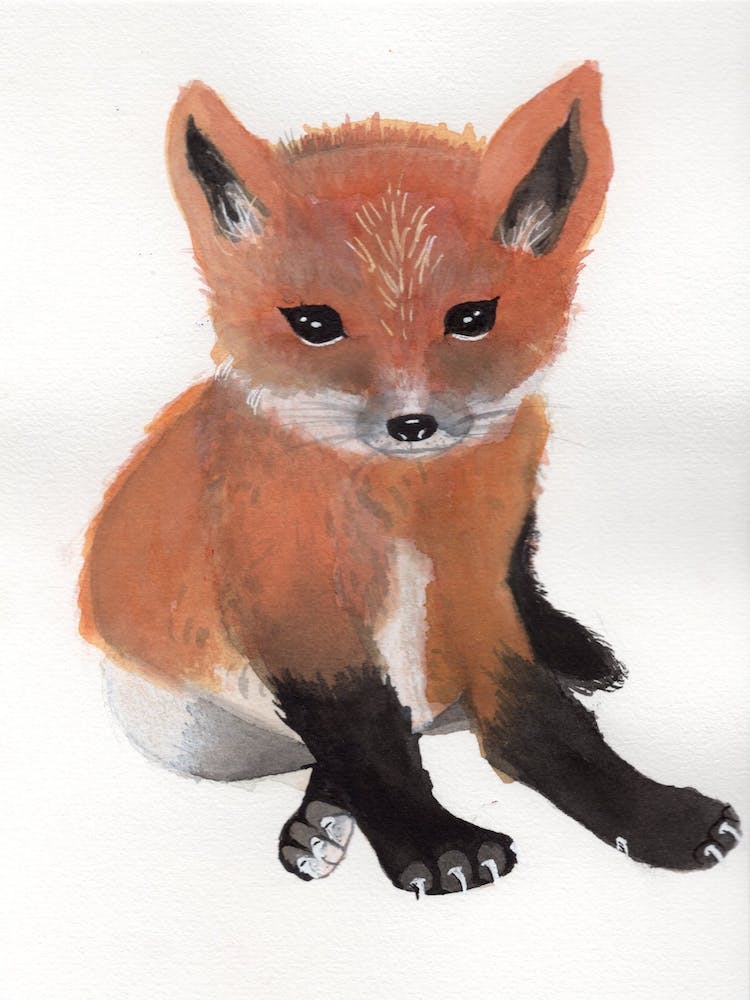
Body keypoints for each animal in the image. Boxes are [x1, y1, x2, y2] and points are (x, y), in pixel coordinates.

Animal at [79, 63, 741, 896]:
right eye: (315, 325)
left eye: (472, 317)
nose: (412, 424)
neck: (401, 511)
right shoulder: (296, 610)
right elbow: (367, 739)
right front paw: (432, 844)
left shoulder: (480, 590)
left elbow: (545, 726)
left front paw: (652, 818)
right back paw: (321, 821)